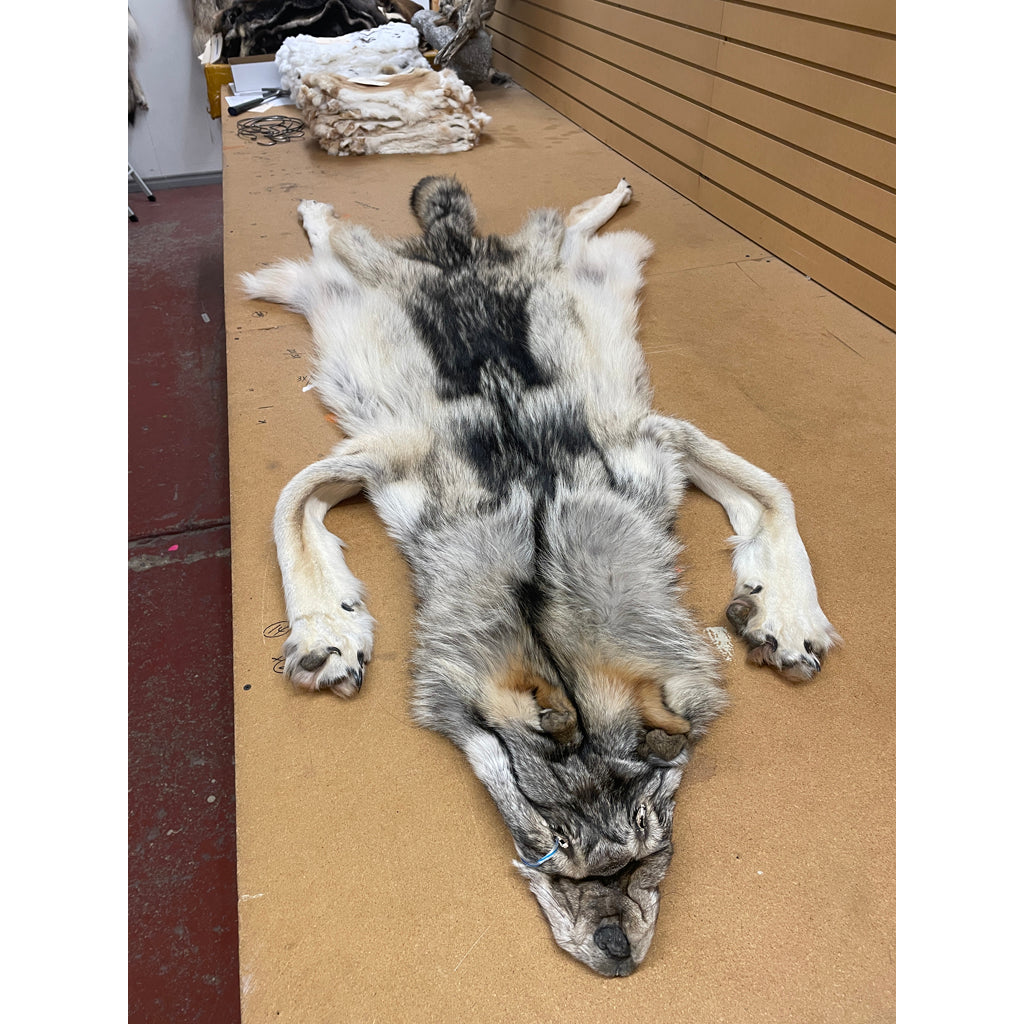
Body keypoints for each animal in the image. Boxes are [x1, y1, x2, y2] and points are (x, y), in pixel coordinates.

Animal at [240, 177, 839, 977]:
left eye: (649, 856)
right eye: (548, 854)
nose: (619, 957)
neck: (537, 535)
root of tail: (457, 250)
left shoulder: (655, 439)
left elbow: (774, 496)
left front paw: (785, 615)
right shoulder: (376, 458)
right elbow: (288, 513)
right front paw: (327, 632)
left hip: (573, 263)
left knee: (574, 224)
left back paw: (616, 191)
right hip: (351, 274)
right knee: (337, 234)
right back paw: (313, 210)